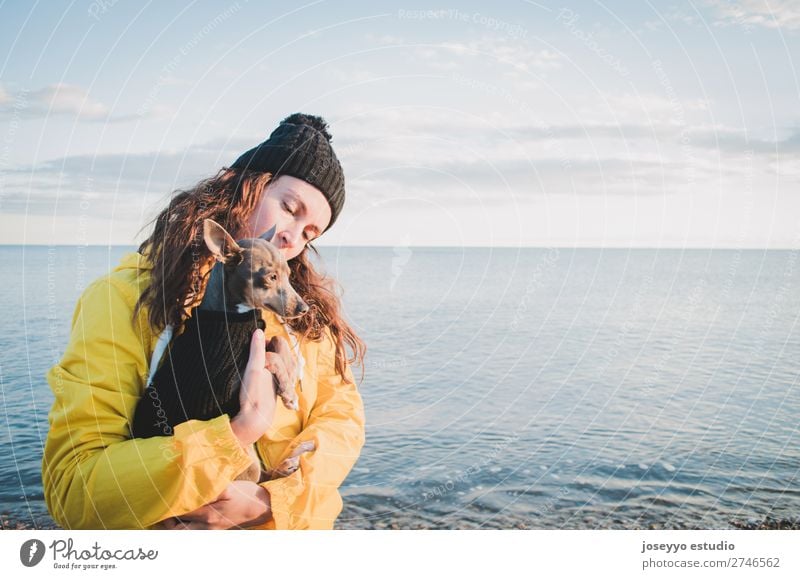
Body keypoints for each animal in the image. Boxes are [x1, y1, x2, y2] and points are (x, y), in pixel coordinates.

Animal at [132, 220, 316, 482]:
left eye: (289, 277)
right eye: (271, 277)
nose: (304, 308)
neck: (234, 318)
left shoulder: (258, 339)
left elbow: (278, 340)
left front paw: (290, 379)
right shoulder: (233, 381)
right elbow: (269, 354)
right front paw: (289, 393)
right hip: (244, 456)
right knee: (258, 478)